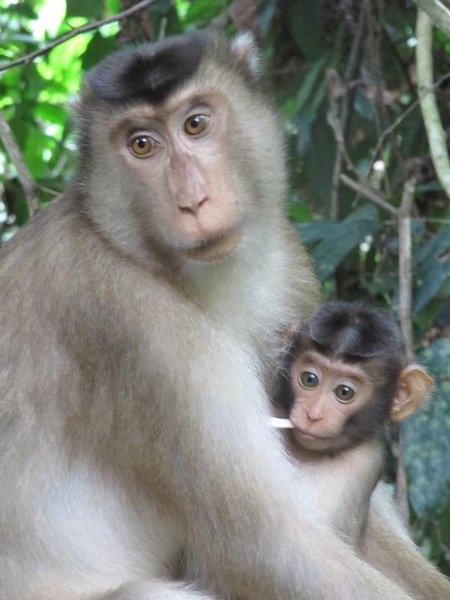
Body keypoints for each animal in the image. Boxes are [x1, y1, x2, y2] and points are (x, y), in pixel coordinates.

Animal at [0, 32, 414, 600]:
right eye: (142, 144)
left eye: (195, 123)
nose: (192, 201)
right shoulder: (135, 325)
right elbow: (264, 545)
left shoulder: (288, 265)